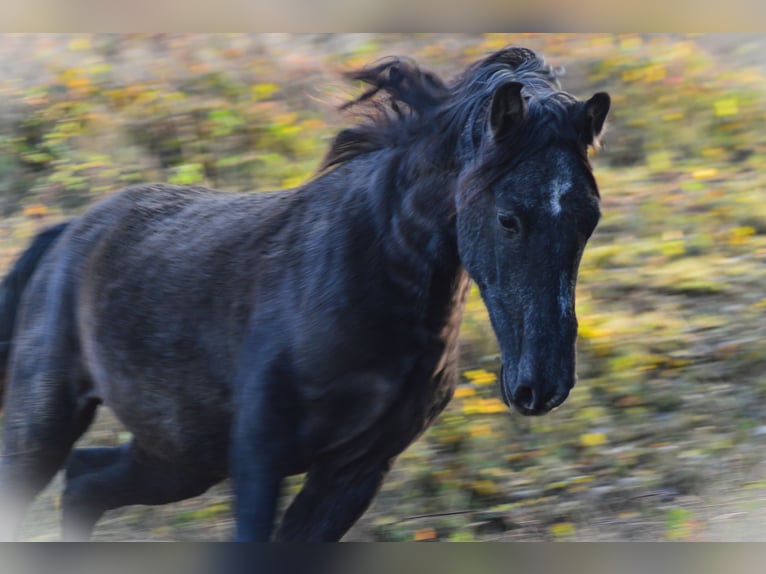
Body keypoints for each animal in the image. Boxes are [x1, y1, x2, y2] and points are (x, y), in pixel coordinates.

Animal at [0, 46, 612, 544]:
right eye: (509, 218)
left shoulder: (355, 471)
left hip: (180, 457)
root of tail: (66, 235)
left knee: (84, 482)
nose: (541, 386)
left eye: (589, 220)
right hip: (48, 424)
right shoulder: (259, 458)